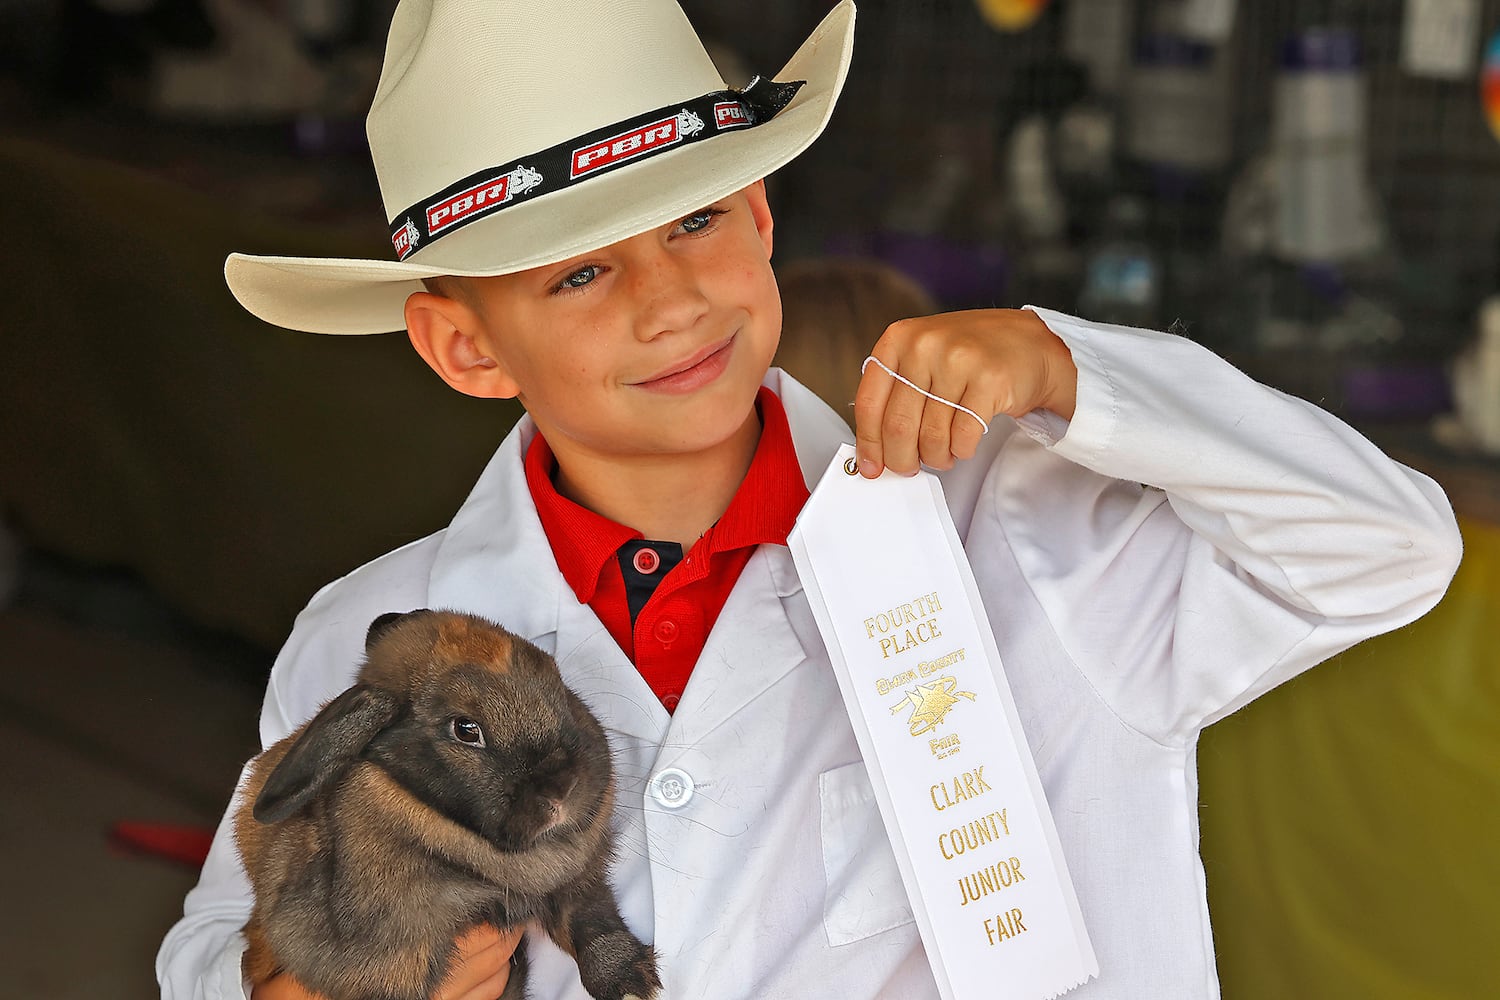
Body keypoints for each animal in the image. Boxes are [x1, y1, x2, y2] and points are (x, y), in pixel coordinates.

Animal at [234, 611, 657, 1000]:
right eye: (466, 729)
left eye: (558, 682)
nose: (562, 790)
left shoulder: (577, 885)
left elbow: (593, 924)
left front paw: (634, 983)